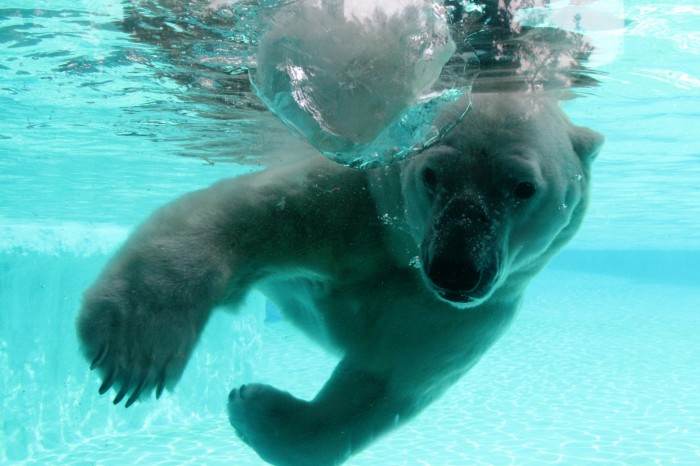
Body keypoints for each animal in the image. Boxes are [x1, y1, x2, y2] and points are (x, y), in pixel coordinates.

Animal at [77, 92, 603, 466]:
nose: (455, 269)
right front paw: (136, 351)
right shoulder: (355, 202)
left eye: (523, 188)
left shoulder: (456, 318)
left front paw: (252, 405)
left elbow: (380, 386)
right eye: (431, 174)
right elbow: (245, 215)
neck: (403, 255)